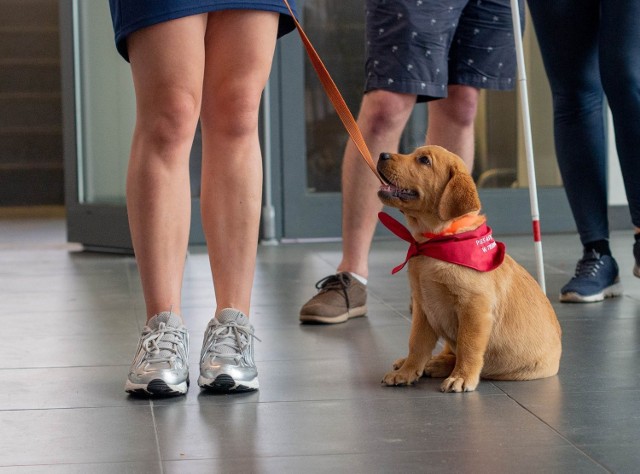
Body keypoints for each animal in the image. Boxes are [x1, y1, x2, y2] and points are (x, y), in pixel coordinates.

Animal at [378, 144, 564, 392]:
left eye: (424, 160)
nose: (382, 154)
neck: (437, 240)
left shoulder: (474, 308)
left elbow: (468, 346)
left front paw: (462, 377)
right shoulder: (422, 306)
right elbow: (416, 343)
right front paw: (407, 371)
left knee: (458, 353)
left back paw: (438, 365)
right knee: (446, 351)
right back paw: (424, 362)